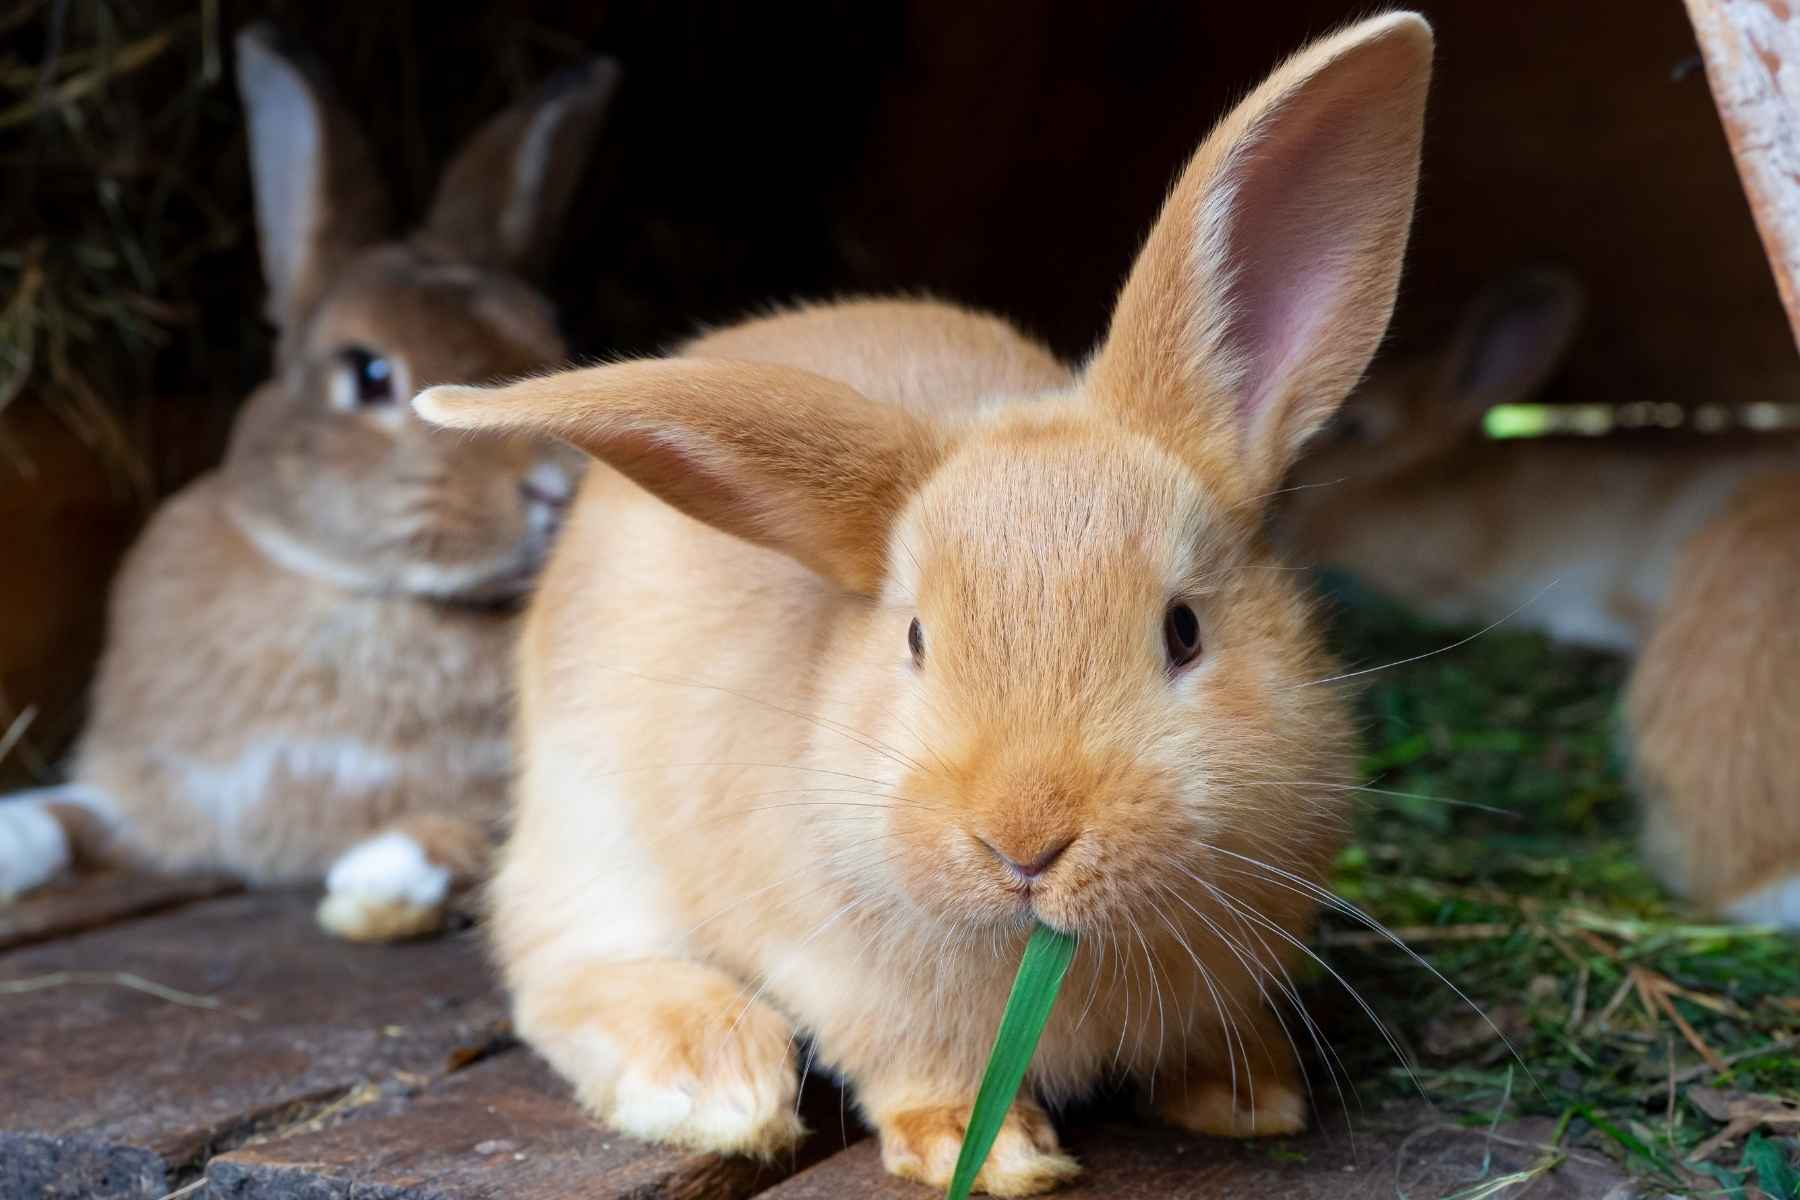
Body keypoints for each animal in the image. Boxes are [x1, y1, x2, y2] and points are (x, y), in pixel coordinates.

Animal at [0, 28, 619, 942]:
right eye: (368, 373)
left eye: (554, 345)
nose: (553, 486)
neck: (359, 595)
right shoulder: (167, 791)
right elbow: (74, 814)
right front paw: (10, 836)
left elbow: (501, 824)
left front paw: (382, 880)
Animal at [417, 14, 1432, 1194]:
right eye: (914, 639)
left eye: (1184, 630)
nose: (1026, 842)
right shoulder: (855, 987)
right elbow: (913, 1070)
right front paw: (994, 1155)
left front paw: (1249, 1099)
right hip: (587, 830)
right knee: (562, 967)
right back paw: (717, 1079)